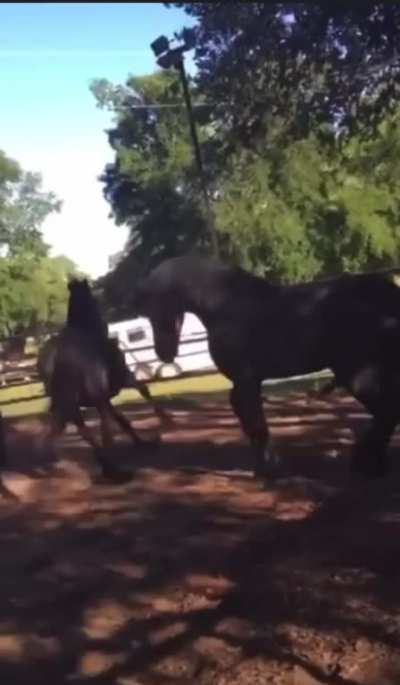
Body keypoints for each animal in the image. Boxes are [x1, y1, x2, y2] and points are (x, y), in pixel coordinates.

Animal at [42, 278, 163, 481]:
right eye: (94, 299)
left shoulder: (105, 398)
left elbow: (122, 419)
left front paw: (142, 442)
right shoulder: (123, 379)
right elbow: (143, 389)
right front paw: (165, 419)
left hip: (69, 404)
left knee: (78, 430)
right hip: (93, 399)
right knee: (101, 431)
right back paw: (115, 470)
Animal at [132, 254, 400, 480]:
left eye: (157, 306)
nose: (164, 353)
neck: (225, 305)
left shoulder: (246, 379)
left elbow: (255, 422)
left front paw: (271, 469)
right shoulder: (245, 382)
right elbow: (249, 420)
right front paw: (265, 466)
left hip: (357, 374)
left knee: (386, 410)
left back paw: (366, 463)